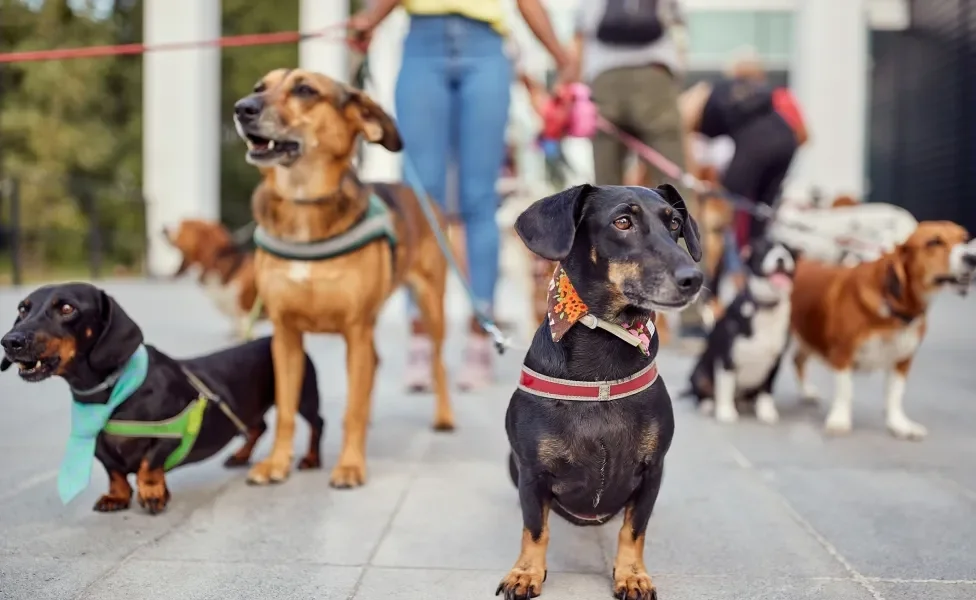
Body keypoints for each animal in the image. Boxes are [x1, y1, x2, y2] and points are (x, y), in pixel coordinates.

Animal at [0, 284, 324, 512]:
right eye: (23, 308)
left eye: (67, 308)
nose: (10, 342)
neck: (111, 394)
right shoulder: (100, 447)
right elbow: (115, 472)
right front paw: (117, 497)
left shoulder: (170, 435)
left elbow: (148, 464)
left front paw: (153, 491)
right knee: (258, 427)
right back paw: (240, 456)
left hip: (303, 396)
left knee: (317, 423)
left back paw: (311, 459)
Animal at [233, 68, 454, 488]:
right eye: (259, 88)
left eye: (305, 90)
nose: (241, 108)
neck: (303, 203)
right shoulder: (286, 335)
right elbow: (286, 410)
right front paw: (276, 463)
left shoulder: (355, 328)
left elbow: (351, 408)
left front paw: (350, 465)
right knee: (375, 367)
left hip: (430, 306)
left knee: (436, 361)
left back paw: (444, 416)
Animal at [504, 183, 700, 600]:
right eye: (622, 222)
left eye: (675, 223)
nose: (694, 278)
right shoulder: (531, 471)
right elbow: (535, 528)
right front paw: (526, 572)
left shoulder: (652, 470)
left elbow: (634, 529)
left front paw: (632, 575)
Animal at [684, 237, 796, 424]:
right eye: (764, 248)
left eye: (788, 250)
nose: (781, 258)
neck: (765, 307)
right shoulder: (727, 358)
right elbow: (726, 386)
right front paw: (726, 412)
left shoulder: (775, 362)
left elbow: (767, 390)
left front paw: (766, 411)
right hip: (699, 373)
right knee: (702, 392)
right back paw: (708, 405)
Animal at [788, 223, 972, 438]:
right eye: (934, 242)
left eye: (966, 239)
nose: (972, 257)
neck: (894, 307)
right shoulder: (843, 355)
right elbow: (845, 391)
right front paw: (840, 420)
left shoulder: (902, 360)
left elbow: (895, 395)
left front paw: (899, 424)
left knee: (798, 360)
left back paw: (806, 391)